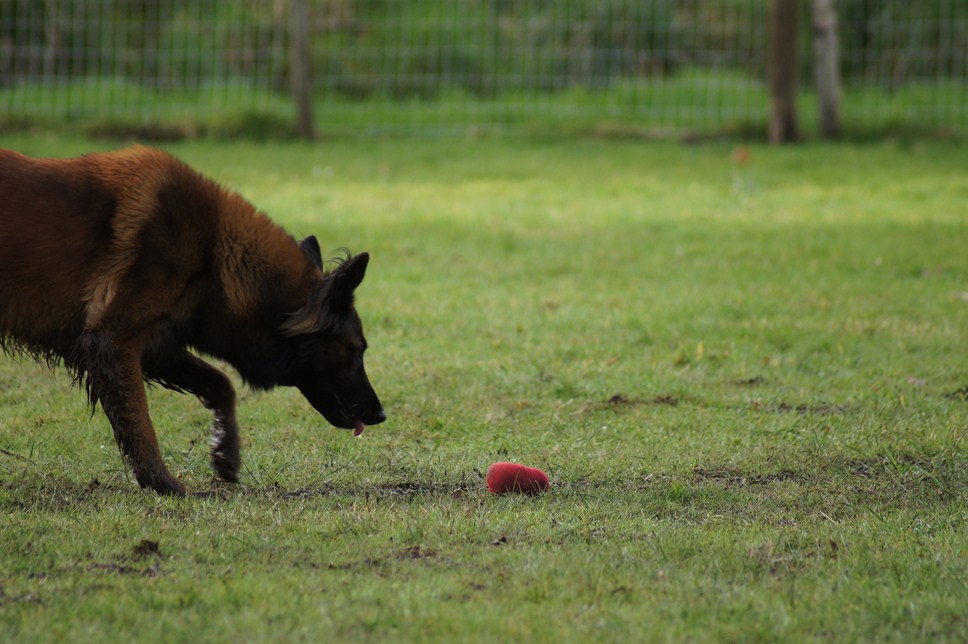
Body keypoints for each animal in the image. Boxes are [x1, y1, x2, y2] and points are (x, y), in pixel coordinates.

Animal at [0, 147, 386, 498]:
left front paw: (225, 451)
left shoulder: (155, 344)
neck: (215, 252)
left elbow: (220, 382)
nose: (381, 414)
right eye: (357, 350)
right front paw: (165, 484)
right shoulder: (111, 342)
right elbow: (141, 424)